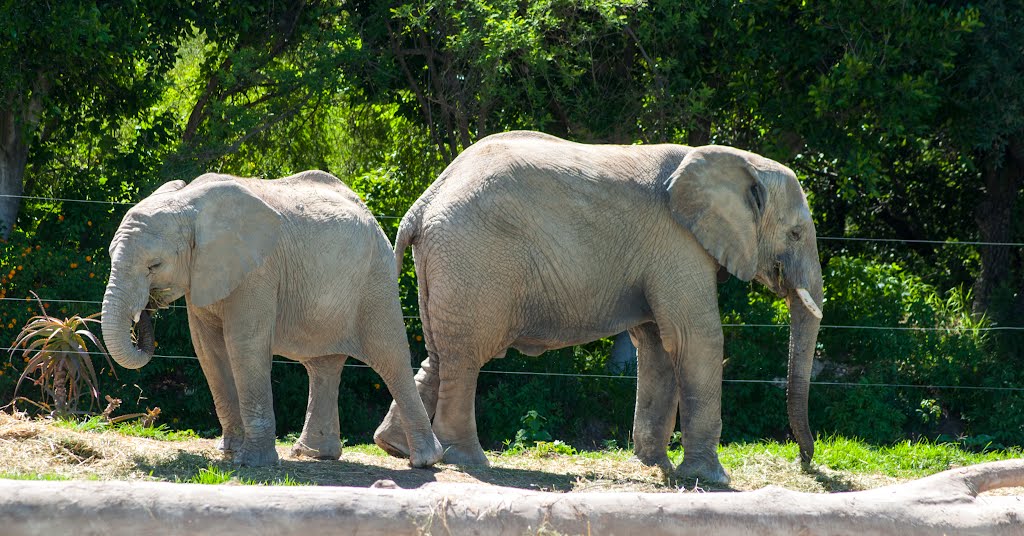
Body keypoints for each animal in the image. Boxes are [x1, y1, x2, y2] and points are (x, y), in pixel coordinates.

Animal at [98, 170, 444, 467]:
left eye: (154, 265)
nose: (147, 310)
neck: (189, 206)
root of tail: (370, 213)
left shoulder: (258, 270)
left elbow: (244, 344)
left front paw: (252, 462)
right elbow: (208, 351)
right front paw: (229, 452)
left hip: (376, 280)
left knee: (390, 356)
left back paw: (424, 461)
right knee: (323, 366)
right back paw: (314, 455)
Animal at [376, 132, 823, 483]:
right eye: (796, 234)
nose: (806, 462)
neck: (739, 161)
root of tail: (423, 203)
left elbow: (659, 345)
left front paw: (655, 466)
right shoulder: (679, 243)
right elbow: (696, 339)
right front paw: (711, 479)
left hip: (451, 266)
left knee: (441, 352)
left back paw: (398, 448)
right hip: (475, 258)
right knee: (467, 356)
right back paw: (468, 460)